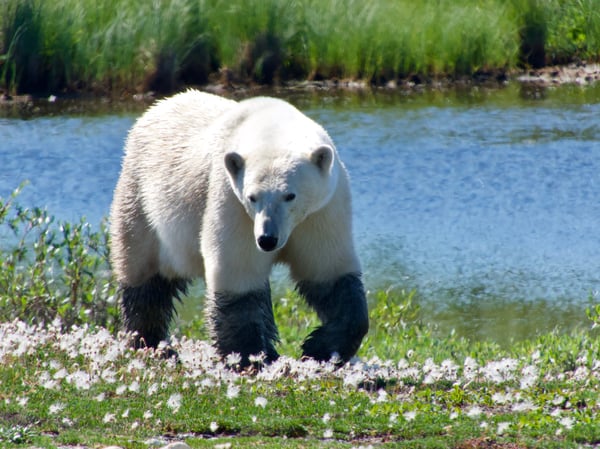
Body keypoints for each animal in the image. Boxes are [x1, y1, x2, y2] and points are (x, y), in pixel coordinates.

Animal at [110, 89, 368, 366]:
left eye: (290, 196)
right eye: (253, 197)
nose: (267, 239)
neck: (271, 125)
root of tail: (157, 107)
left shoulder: (322, 211)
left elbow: (328, 270)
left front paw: (319, 348)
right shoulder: (232, 202)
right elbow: (238, 273)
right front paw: (246, 356)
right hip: (140, 195)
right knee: (143, 274)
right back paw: (150, 343)